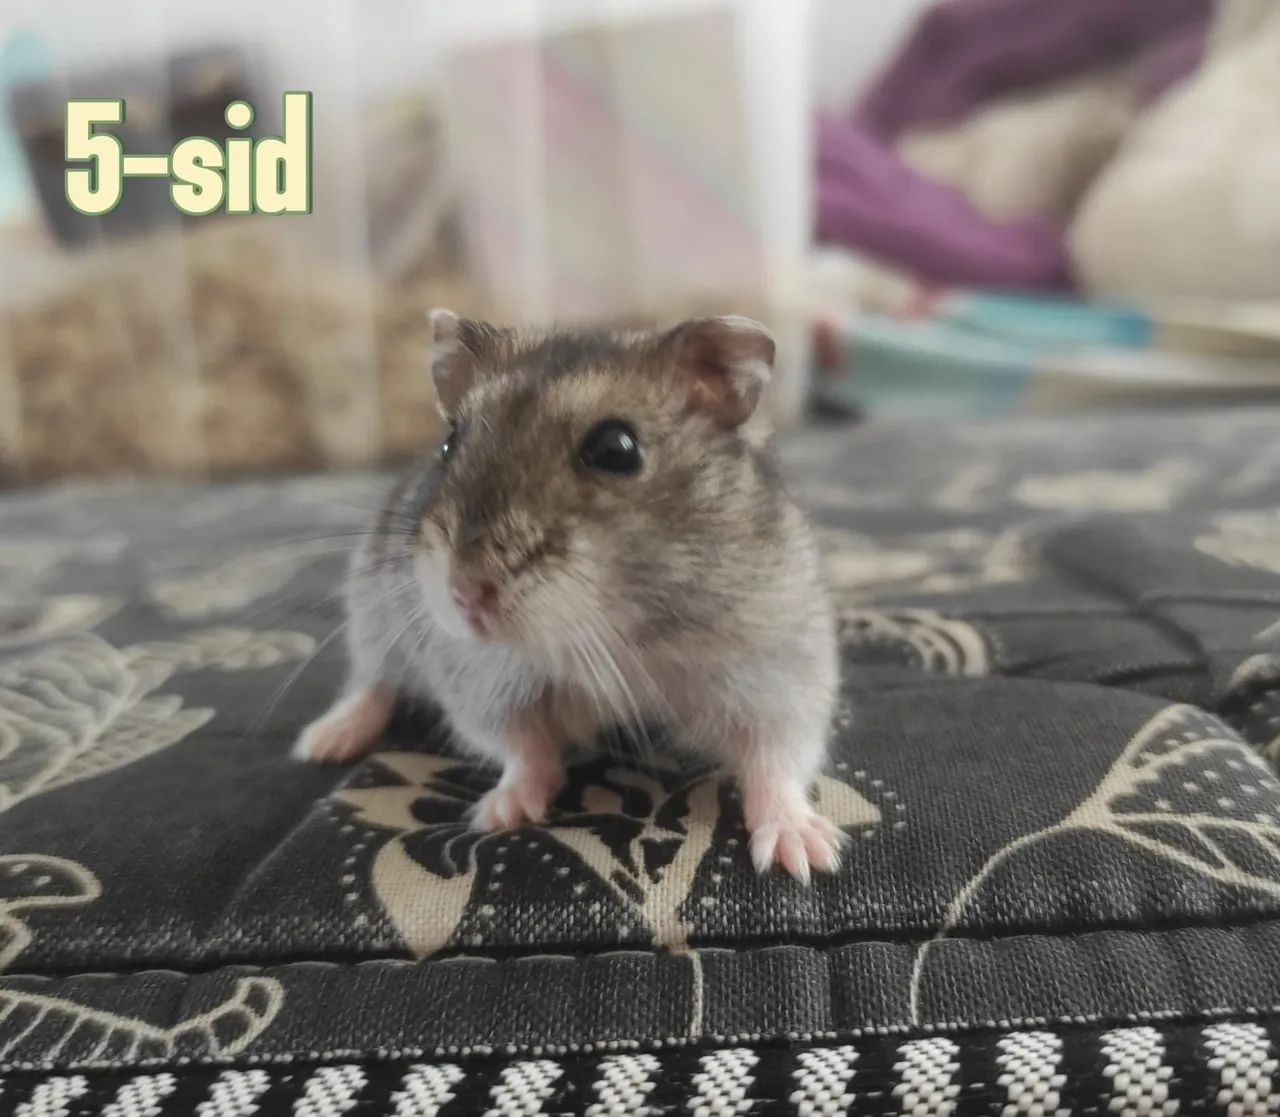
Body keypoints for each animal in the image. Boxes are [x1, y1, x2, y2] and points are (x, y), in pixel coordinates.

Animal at [294, 310, 845, 880]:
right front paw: (499, 815)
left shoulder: (777, 673)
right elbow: (522, 748)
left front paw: (806, 855)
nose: (464, 595)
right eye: (450, 442)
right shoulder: (481, 682)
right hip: (372, 614)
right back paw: (324, 742)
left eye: (616, 448)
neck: (617, 630)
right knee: (373, 682)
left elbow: (775, 759)